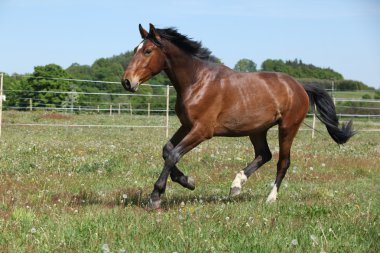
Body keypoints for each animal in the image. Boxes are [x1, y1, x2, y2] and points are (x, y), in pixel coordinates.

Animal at [121, 24, 354, 210]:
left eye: (148, 51)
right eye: (135, 50)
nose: (127, 82)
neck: (197, 81)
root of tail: (300, 86)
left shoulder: (202, 130)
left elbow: (173, 155)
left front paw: (156, 196)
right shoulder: (187, 125)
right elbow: (167, 150)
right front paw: (187, 181)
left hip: (288, 127)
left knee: (283, 161)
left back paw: (270, 198)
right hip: (257, 130)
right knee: (264, 155)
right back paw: (236, 186)